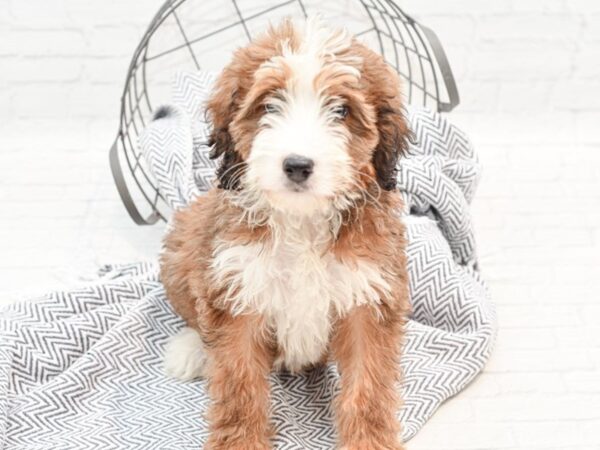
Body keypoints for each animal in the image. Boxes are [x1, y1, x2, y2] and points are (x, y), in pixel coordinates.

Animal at [161, 16, 412, 450]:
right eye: (269, 104)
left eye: (341, 110)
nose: (297, 165)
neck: (302, 220)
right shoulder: (237, 292)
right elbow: (239, 388)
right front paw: (240, 442)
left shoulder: (370, 298)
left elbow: (367, 391)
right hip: (182, 246)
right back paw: (191, 349)